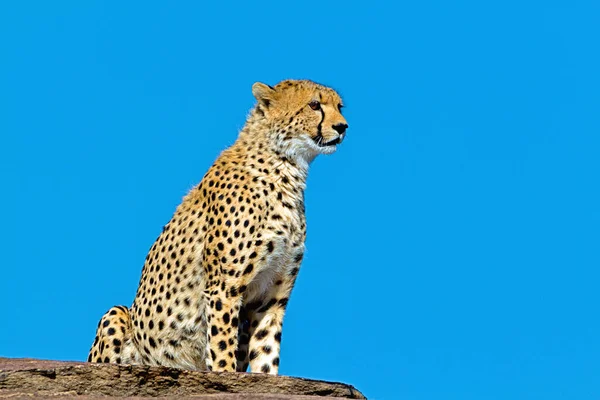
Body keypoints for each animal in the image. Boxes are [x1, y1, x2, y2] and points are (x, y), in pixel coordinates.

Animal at [89, 79, 350, 376]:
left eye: (339, 107)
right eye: (315, 105)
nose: (343, 127)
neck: (286, 167)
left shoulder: (270, 300)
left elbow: (266, 352)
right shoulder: (225, 287)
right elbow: (223, 345)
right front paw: (225, 373)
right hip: (117, 314)